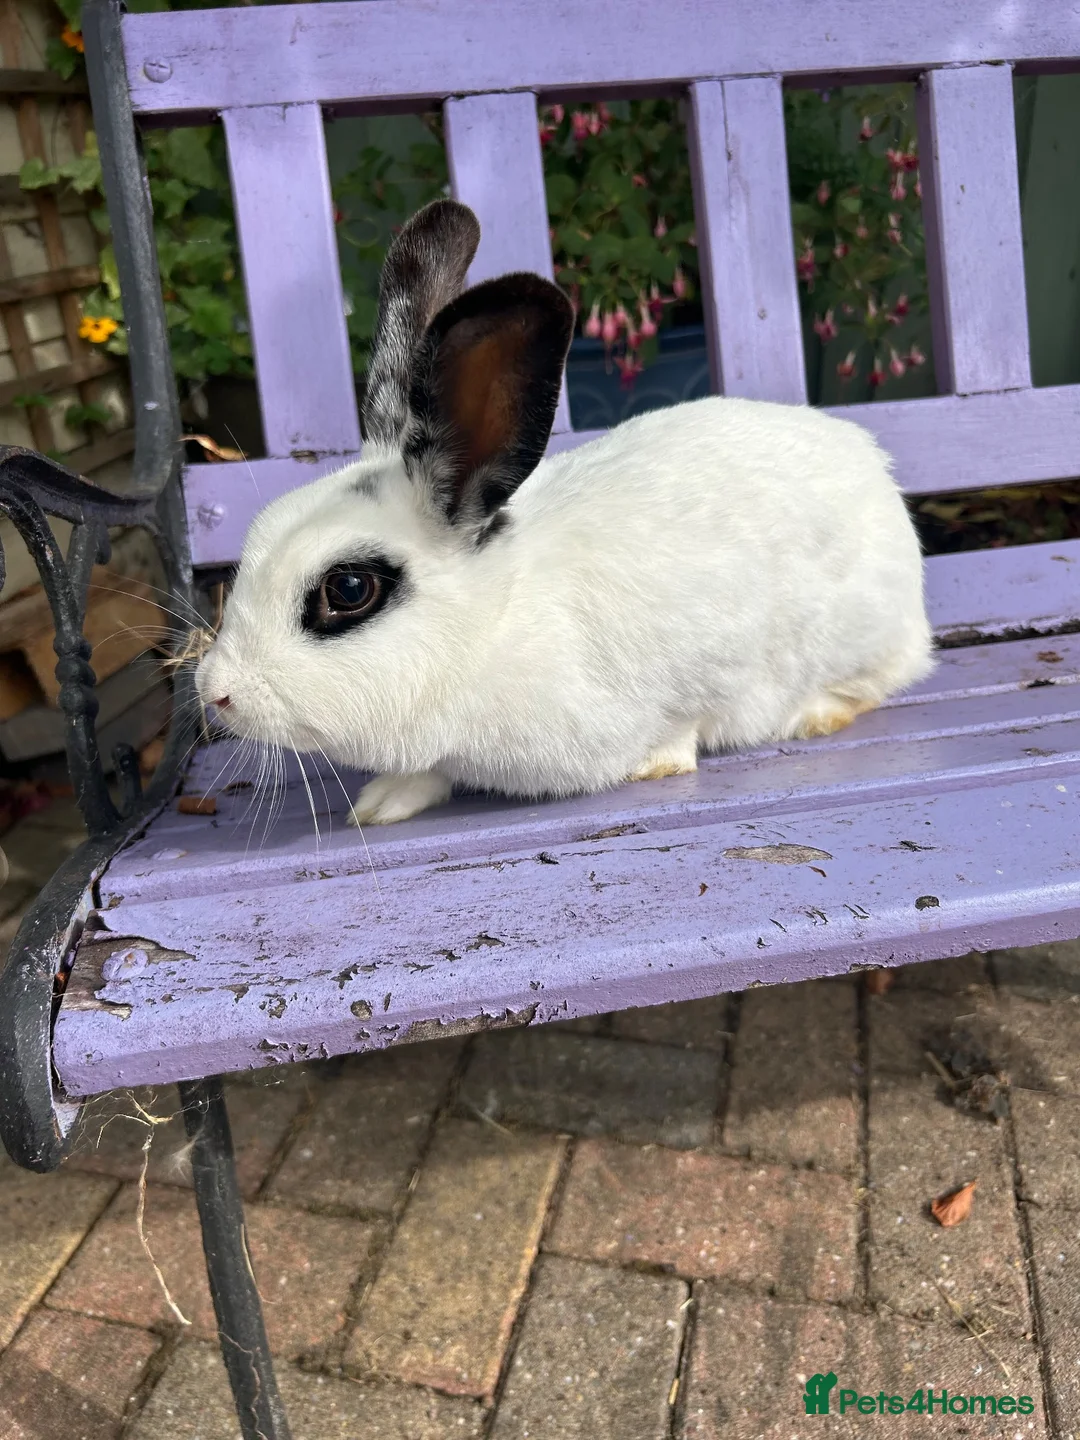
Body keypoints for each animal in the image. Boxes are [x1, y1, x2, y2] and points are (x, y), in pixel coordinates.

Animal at [195, 198, 934, 826]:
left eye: (349, 589)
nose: (215, 692)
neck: (490, 626)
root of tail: (867, 459)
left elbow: (680, 723)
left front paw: (658, 761)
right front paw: (381, 804)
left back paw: (815, 714)